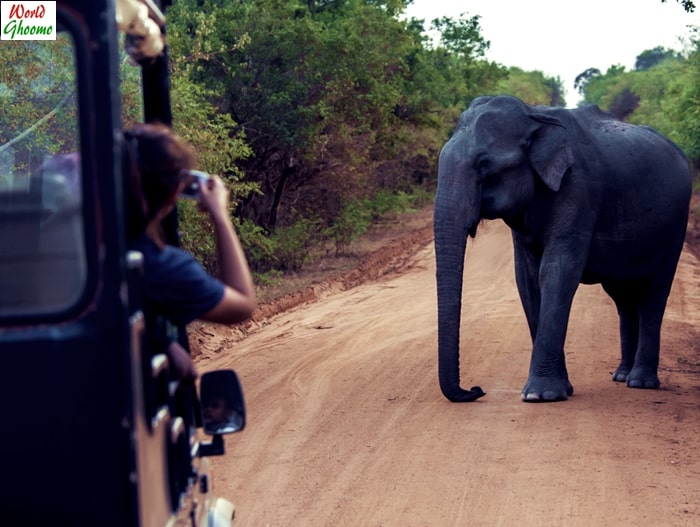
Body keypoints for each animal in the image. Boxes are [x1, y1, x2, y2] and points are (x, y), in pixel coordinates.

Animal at [434, 95, 692, 402]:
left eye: (484, 164)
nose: (476, 389)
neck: (534, 117)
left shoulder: (579, 188)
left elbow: (557, 271)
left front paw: (540, 396)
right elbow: (528, 279)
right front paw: (558, 391)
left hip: (675, 226)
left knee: (654, 294)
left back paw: (640, 383)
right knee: (622, 298)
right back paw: (621, 376)